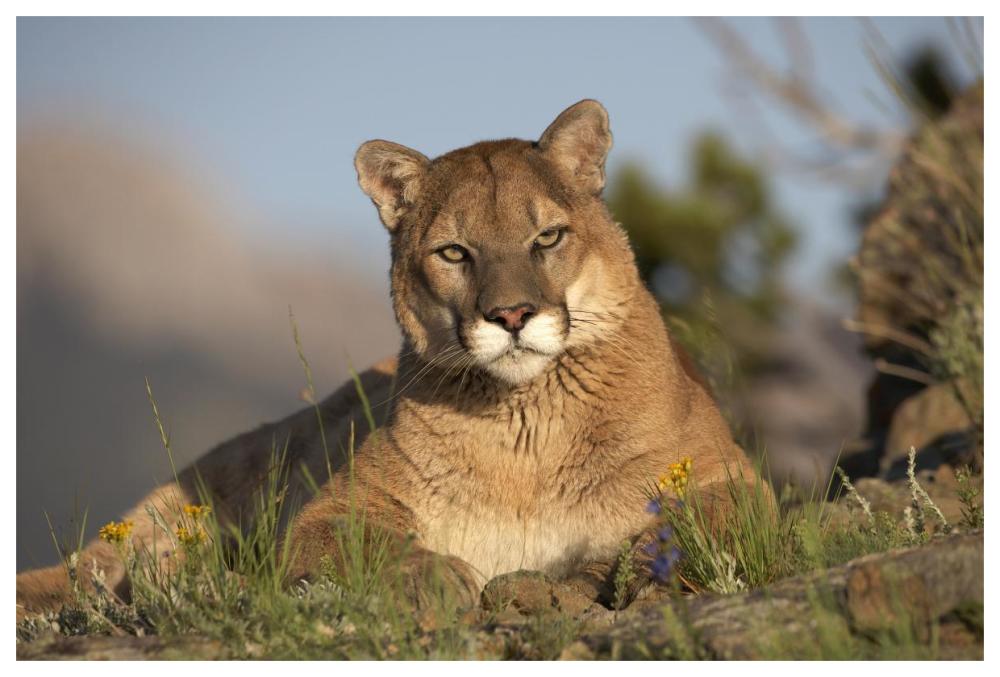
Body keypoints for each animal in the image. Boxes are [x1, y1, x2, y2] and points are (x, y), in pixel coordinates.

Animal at [16, 100, 756, 618]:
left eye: (547, 237)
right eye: (454, 252)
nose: (512, 316)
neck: (527, 436)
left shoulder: (731, 475)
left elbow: (700, 522)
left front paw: (620, 574)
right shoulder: (335, 507)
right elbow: (368, 544)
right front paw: (438, 575)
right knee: (90, 567)